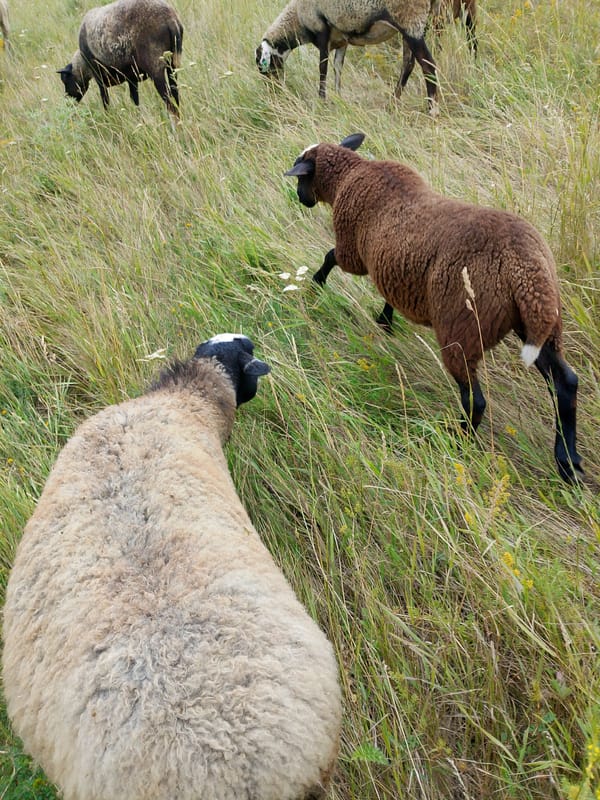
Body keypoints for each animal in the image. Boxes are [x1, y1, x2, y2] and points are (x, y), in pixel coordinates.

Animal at [255, 0, 438, 113]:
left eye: (265, 67)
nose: (275, 92)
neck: (297, 19)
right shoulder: (341, 40)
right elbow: (337, 68)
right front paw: (338, 99)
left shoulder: (322, 33)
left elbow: (322, 69)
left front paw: (322, 101)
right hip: (418, 24)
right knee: (408, 64)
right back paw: (392, 105)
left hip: (410, 22)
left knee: (428, 65)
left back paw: (432, 111)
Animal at [284, 133, 584, 484]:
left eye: (302, 176)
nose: (300, 198)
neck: (350, 176)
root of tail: (524, 267)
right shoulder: (394, 265)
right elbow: (389, 293)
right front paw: (385, 321)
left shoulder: (353, 252)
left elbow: (331, 256)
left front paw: (316, 284)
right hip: (541, 322)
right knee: (565, 383)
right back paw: (568, 463)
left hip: (462, 327)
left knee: (475, 399)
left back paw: (459, 441)